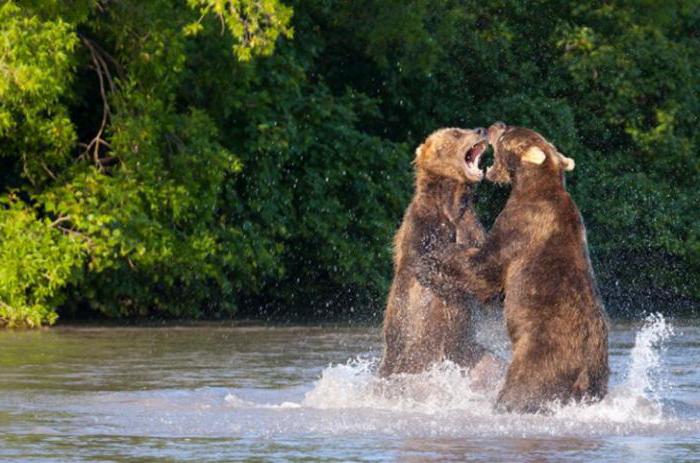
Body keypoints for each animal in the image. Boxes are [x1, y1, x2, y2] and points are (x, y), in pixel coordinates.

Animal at [416, 123, 608, 414]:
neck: (531, 186)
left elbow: (485, 268)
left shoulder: (520, 227)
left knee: (522, 389)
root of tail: (583, 374)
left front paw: (433, 257)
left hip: (538, 360)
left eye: (507, 134)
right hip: (598, 377)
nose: (495, 125)